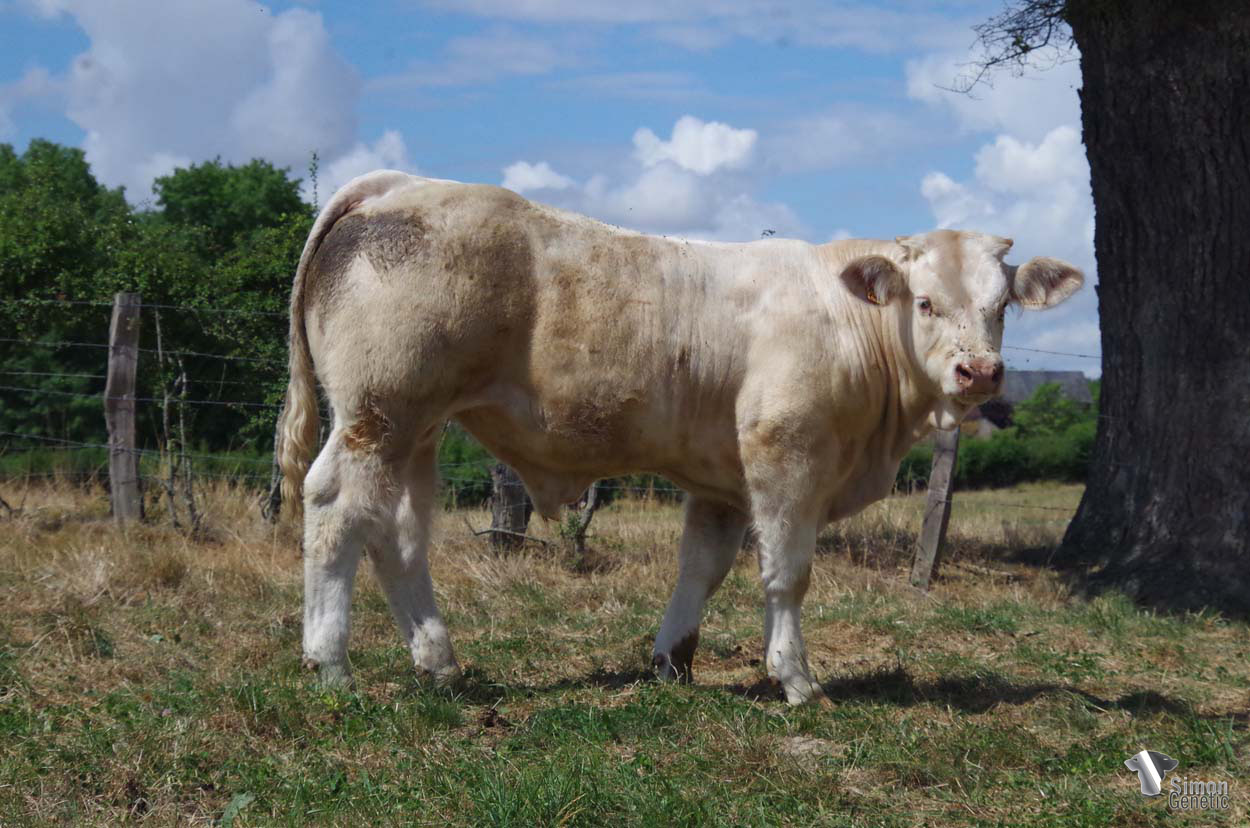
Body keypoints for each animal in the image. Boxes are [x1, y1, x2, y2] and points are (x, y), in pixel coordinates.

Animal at [278, 169, 1083, 704]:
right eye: (924, 302)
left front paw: (672, 660)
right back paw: (331, 665)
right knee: (335, 508)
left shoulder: (722, 480)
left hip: (416, 428)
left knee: (397, 534)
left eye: (1002, 305)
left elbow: (702, 568)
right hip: (378, 413)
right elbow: (786, 573)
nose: (981, 371)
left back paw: (438, 662)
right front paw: (797, 679)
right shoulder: (787, 457)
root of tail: (393, 184)